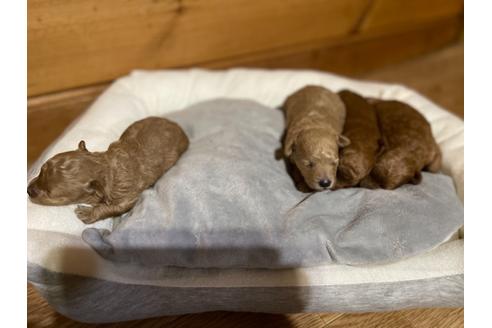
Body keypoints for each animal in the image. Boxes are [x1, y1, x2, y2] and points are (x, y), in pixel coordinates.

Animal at [27, 116, 188, 224]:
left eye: (50, 193)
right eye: (41, 170)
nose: (28, 190)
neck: (103, 166)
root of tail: (179, 127)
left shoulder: (126, 194)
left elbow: (114, 207)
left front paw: (87, 213)